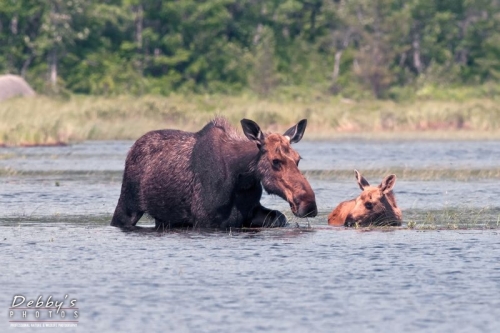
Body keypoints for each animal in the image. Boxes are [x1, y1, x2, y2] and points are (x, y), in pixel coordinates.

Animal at [112, 117, 318, 231]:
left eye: (298, 159)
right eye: (275, 161)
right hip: (127, 205)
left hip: (164, 219)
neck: (241, 179)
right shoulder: (205, 221)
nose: (308, 204)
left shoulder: (251, 213)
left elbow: (280, 218)